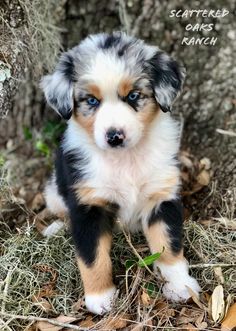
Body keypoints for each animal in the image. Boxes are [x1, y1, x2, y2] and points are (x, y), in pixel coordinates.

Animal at [41, 32, 200, 316]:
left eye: (134, 96)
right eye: (92, 101)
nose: (115, 136)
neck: (125, 159)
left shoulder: (161, 197)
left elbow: (169, 244)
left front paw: (179, 284)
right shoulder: (88, 206)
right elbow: (92, 258)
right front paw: (101, 298)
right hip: (53, 189)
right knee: (59, 209)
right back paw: (55, 228)